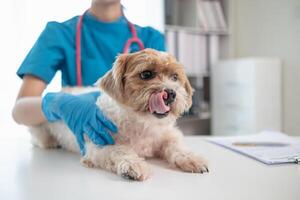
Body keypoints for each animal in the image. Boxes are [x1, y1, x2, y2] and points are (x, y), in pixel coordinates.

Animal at [30, 48, 209, 181]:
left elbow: (176, 146)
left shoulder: (169, 136)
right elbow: (120, 150)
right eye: (146, 74)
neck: (142, 124)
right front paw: (133, 164)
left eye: (175, 77)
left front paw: (191, 158)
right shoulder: (98, 145)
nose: (171, 93)